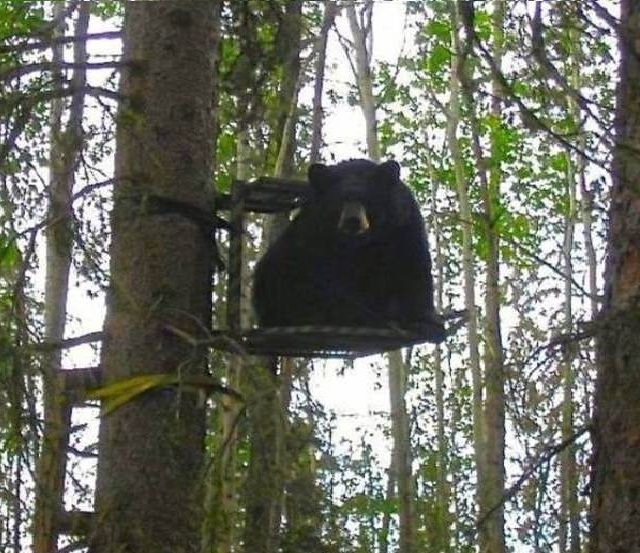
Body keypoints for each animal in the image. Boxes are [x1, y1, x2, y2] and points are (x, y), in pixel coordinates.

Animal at [252, 158, 445, 343]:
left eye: (367, 200)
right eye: (340, 201)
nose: (352, 220)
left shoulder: (403, 224)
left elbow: (412, 265)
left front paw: (426, 321)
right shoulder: (312, 229)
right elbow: (305, 273)